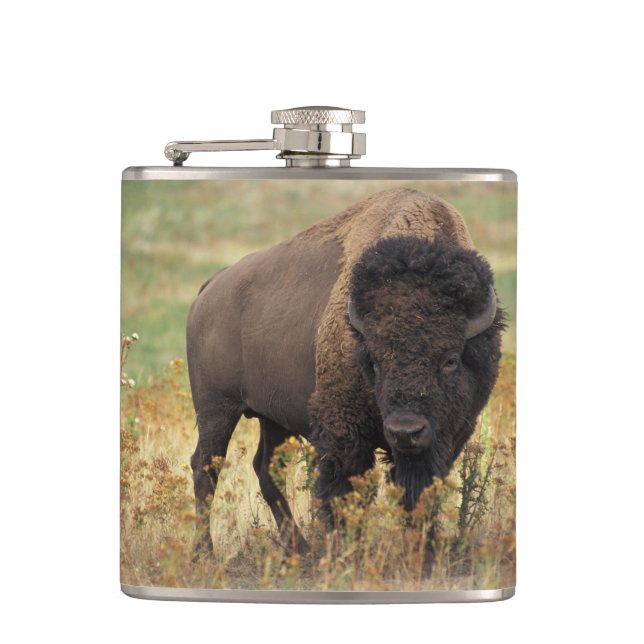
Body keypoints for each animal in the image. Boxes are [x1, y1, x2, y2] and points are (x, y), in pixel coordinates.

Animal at [187, 187, 503, 564]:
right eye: (375, 360)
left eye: (451, 360)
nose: (405, 432)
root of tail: (210, 288)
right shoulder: (345, 434)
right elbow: (346, 492)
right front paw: (348, 552)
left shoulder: (446, 437)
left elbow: (418, 492)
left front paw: (422, 552)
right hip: (216, 410)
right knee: (206, 468)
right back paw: (205, 554)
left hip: (271, 417)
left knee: (265, 469)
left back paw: (300, 550)